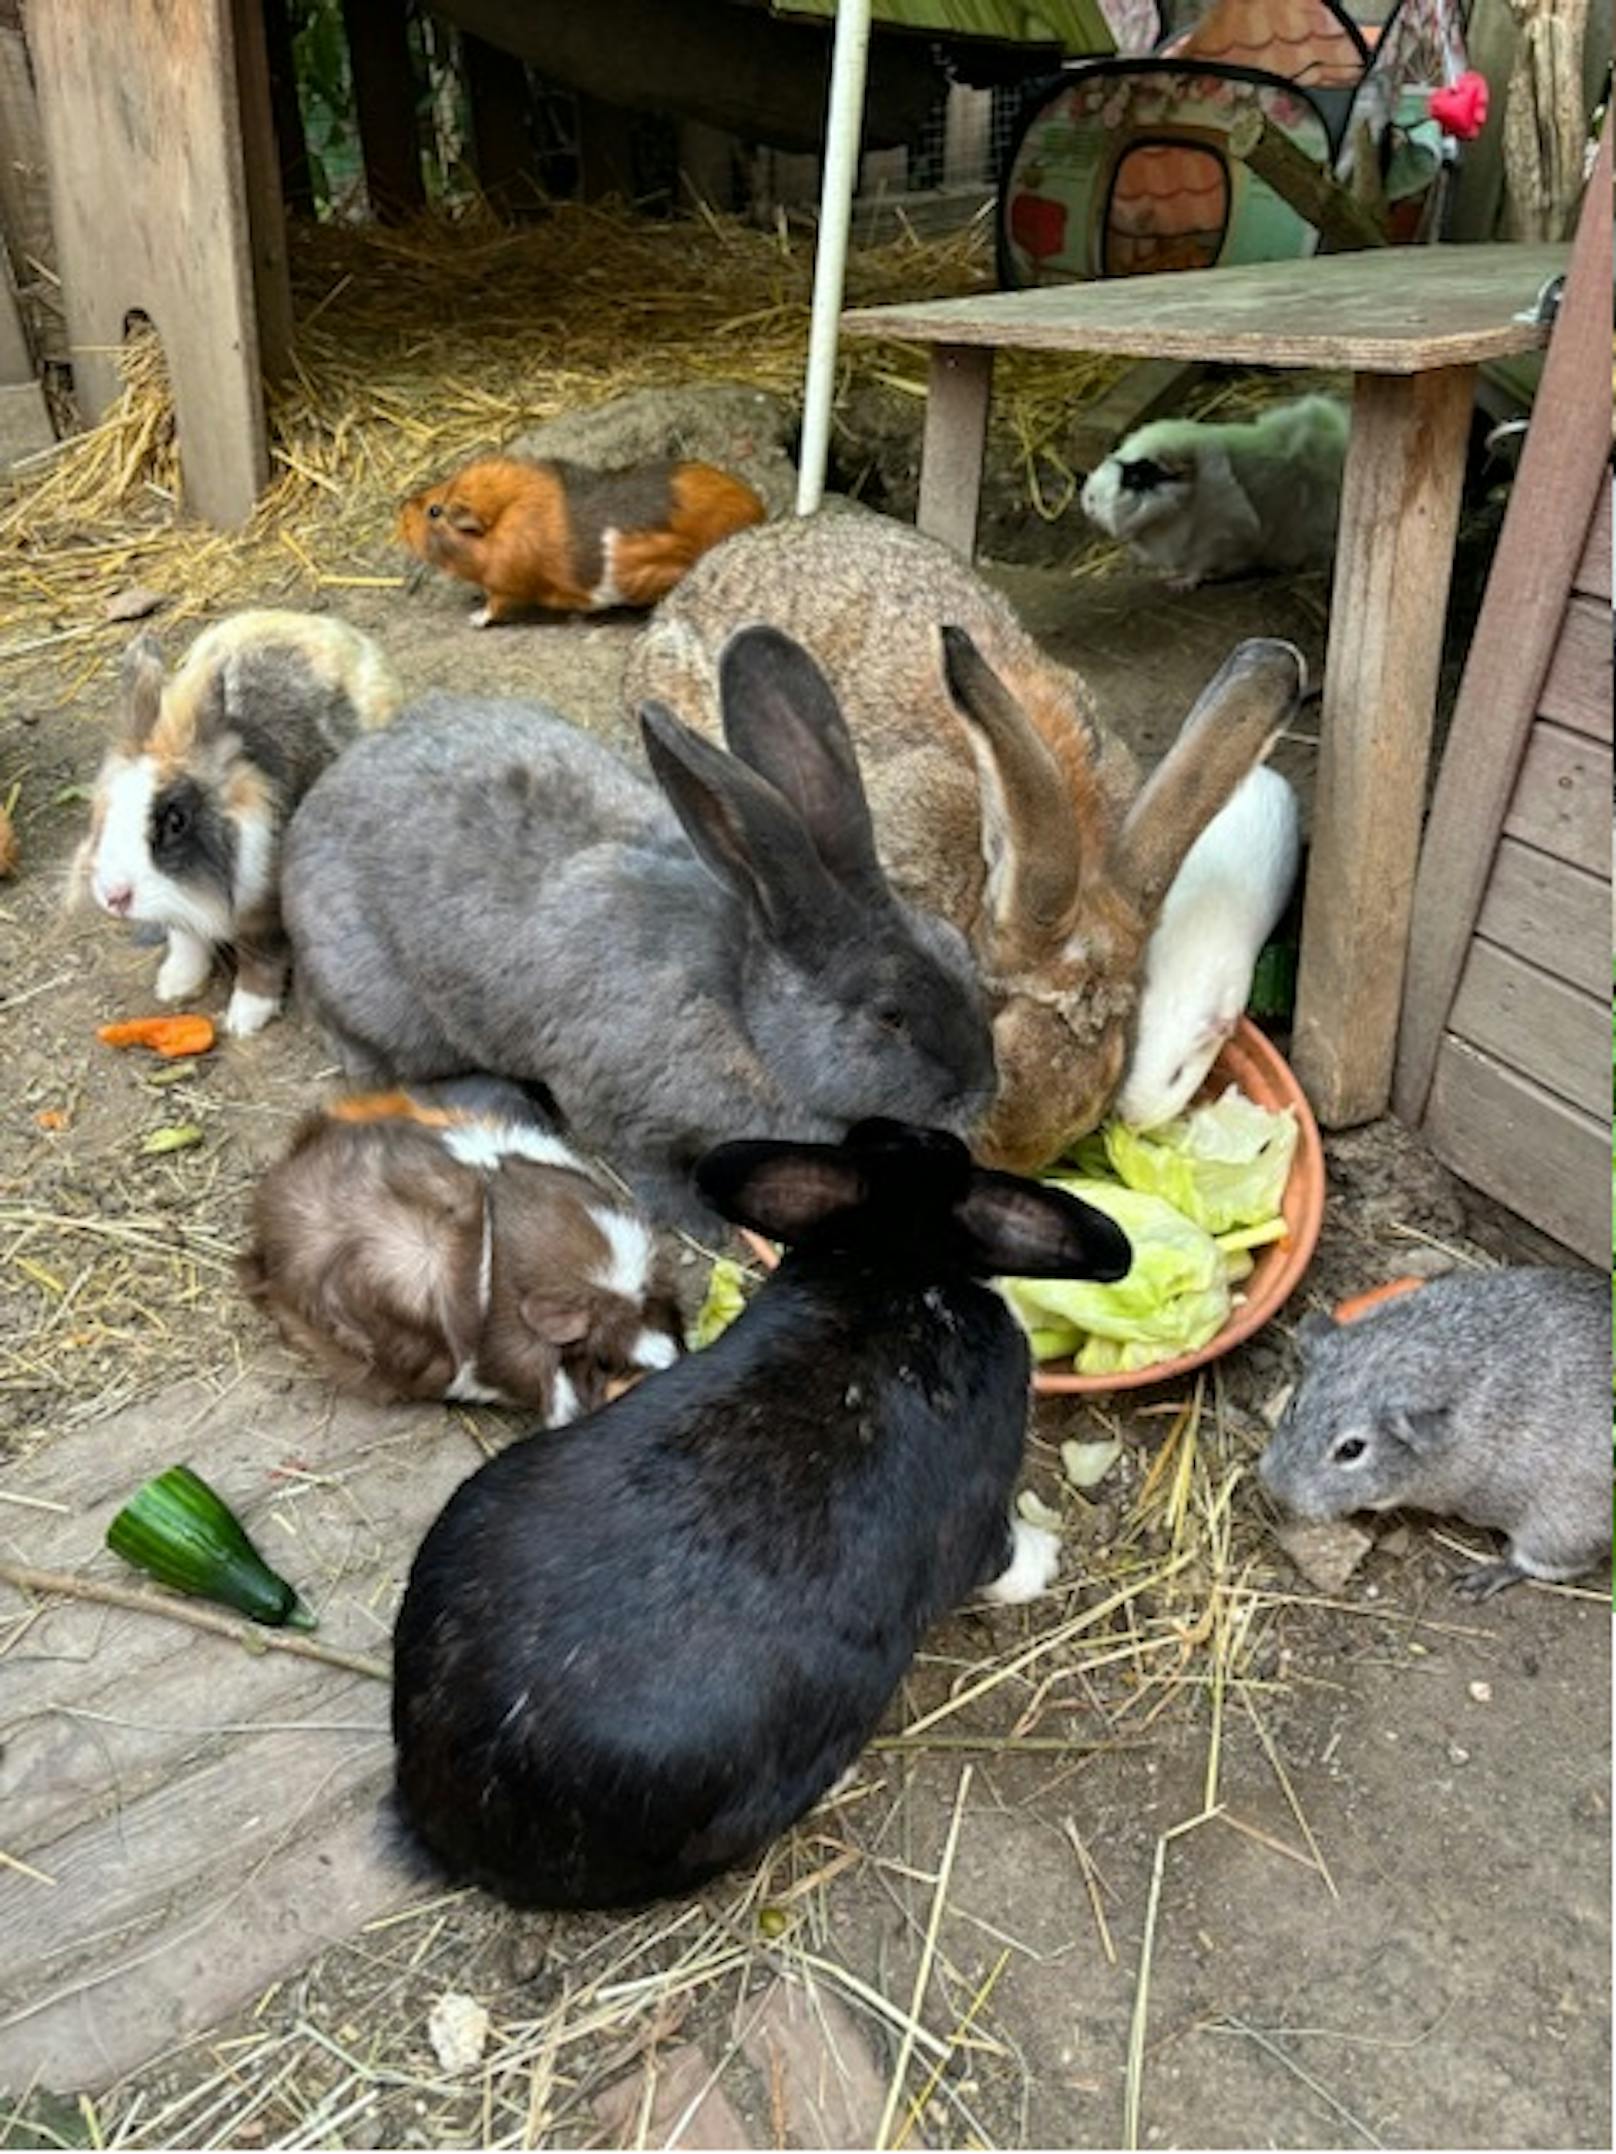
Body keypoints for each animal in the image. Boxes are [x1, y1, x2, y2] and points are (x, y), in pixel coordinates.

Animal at [288, 624, 999, 1232]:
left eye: (956, 949)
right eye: (889, 1016)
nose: (984, 1091)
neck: (746, 1015)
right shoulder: (621, 1112)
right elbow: (650, 1172)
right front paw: (704, 1226)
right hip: (389, 1008)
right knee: (397, 1072)